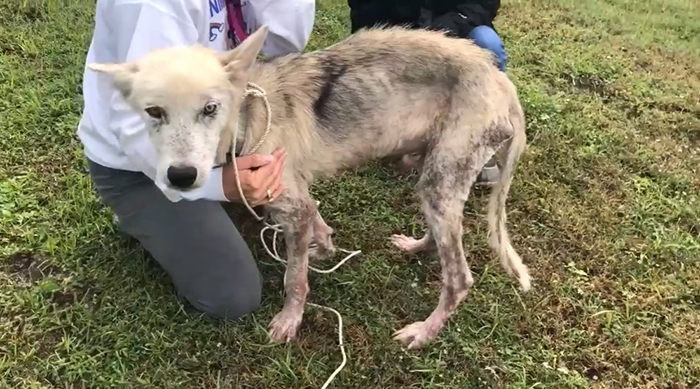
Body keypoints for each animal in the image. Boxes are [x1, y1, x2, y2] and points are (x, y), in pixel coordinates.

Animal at [90, 25, 532, 350]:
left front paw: (290, 320)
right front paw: (324, 246)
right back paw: (418, 246)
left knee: (459, 278)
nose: (180, 177)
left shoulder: (292, 205)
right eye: (154, 112)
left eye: (210, 109)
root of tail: (501, 81)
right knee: (442, 236)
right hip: (433, 175)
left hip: (442, 178)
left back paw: (423, 332)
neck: (248, 117)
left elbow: (294, 279)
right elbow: (315, 228)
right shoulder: (293, 199)